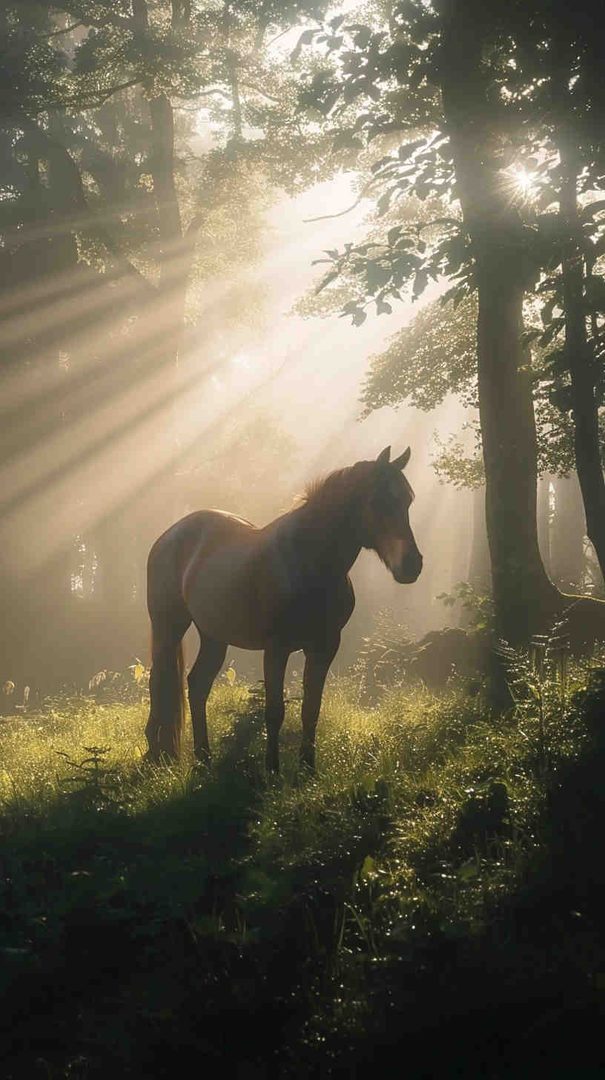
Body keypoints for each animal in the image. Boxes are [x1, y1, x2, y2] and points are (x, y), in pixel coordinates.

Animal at [145, 444, 422, 772]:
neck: (307, 561)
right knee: (159, 682)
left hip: (213, 636)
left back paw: (203, 758)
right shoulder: (276, 649)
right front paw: (273, 770)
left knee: (197, 685)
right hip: (169, 627)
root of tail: (167, 537)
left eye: (407, 500)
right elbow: (274, 711)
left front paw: (308, 768)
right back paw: (155, 753)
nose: (412, 565)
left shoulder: (325, 646)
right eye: (377, 501)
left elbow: (311, 709)